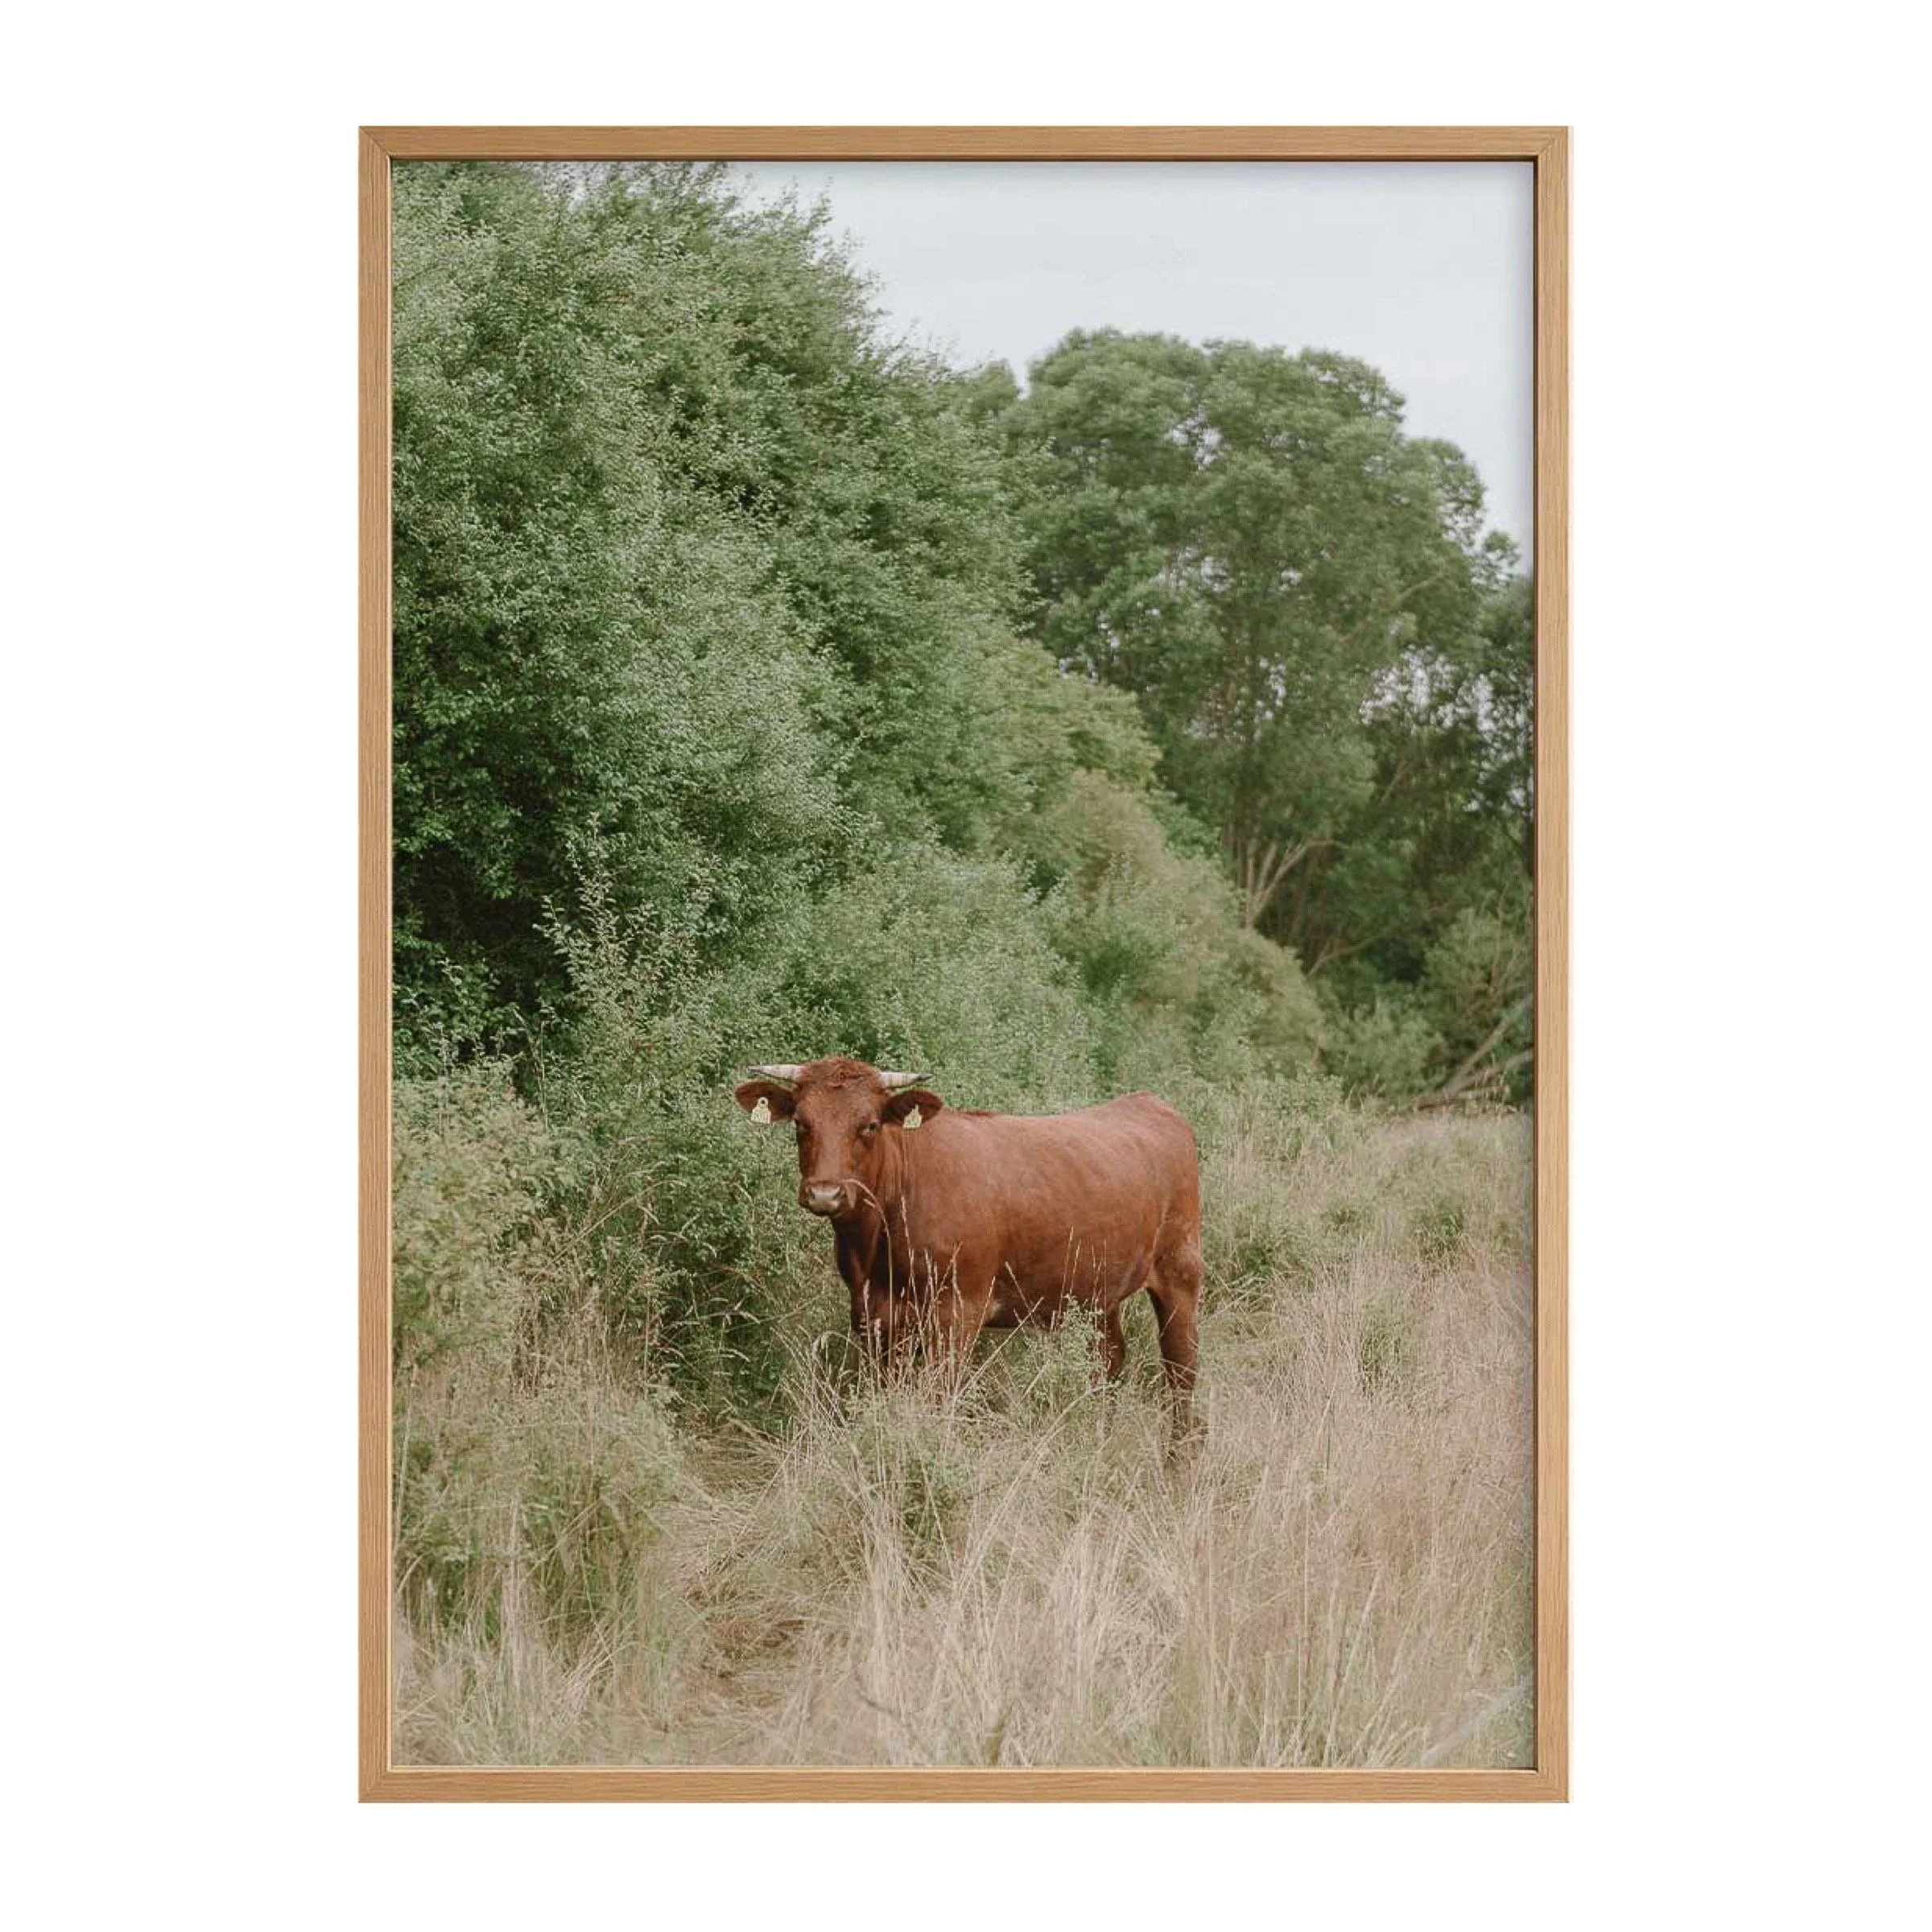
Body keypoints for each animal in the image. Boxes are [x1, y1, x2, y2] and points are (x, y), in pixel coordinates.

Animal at [733, 1057, 1203, 1440]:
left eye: (869, 1125)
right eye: (801, 1123)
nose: (825, 1194)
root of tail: (1148, 1102)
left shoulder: (958, 1311)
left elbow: (940, 1397)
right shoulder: (874, 1315)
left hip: (1180, 1270)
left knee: (1181, 1368)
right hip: (1097, 1292)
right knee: (1108, 1360)